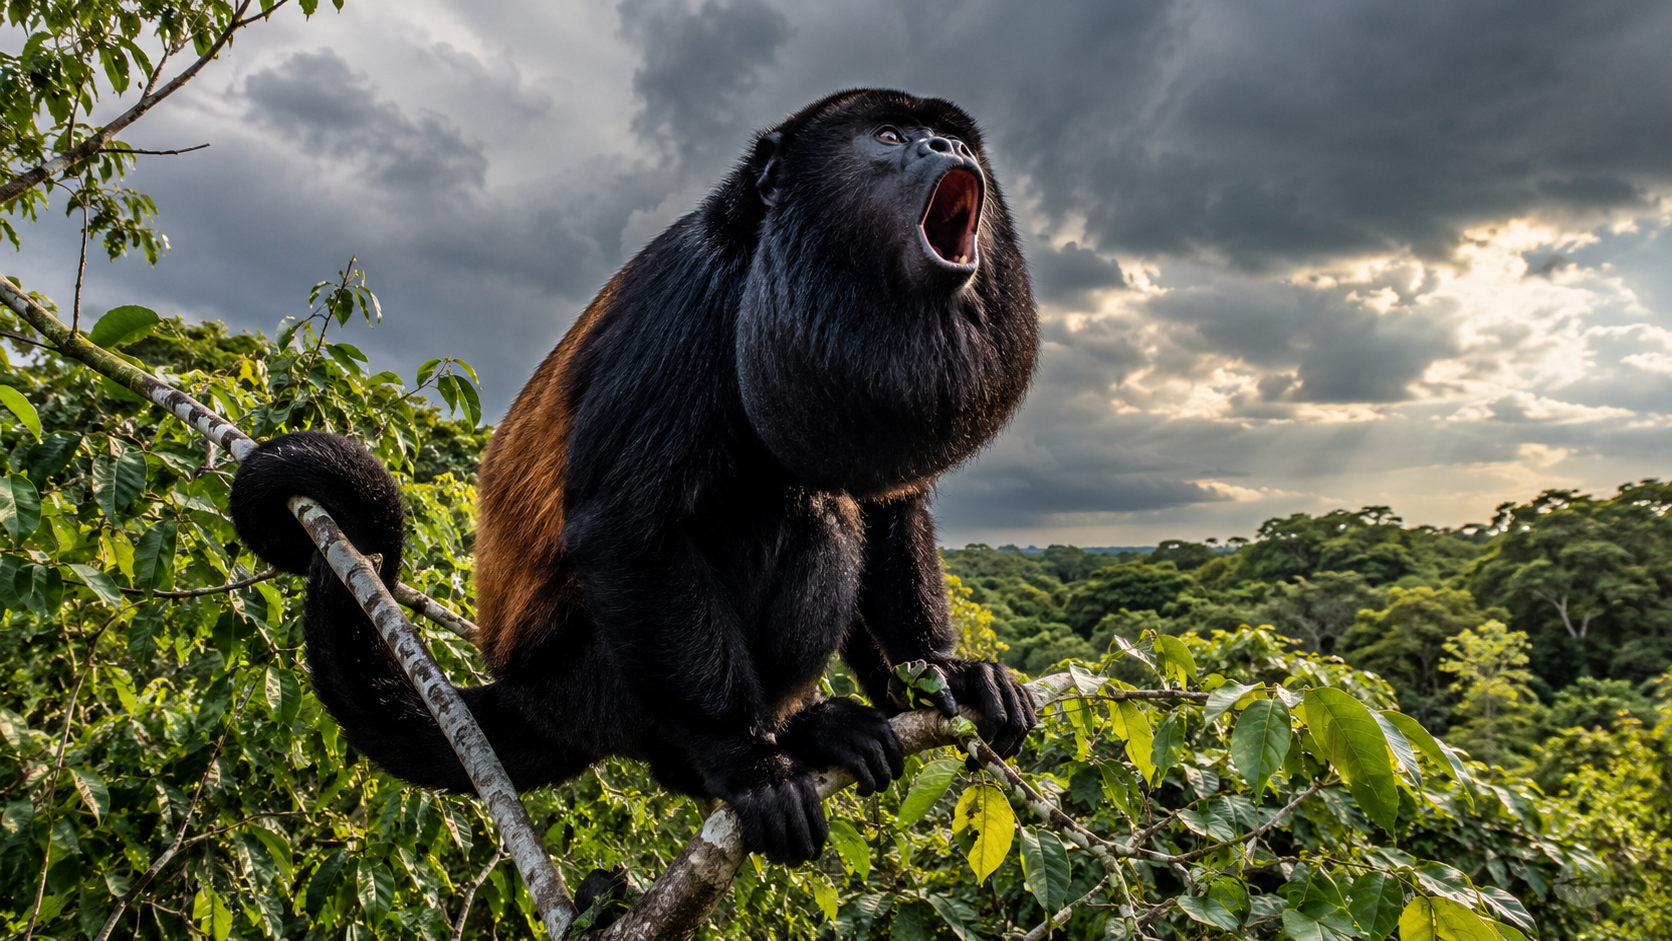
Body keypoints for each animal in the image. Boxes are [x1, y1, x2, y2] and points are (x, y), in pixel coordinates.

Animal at [229, 88, 1039, 867]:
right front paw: (747, 765)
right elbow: (628, 525)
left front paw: (945, 673)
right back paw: (771, 742)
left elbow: (889, 505)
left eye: (949, 136)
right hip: (594, 687)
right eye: (890, 137)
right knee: (802, 514)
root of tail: (524, 692)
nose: (950, 146)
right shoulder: (687, 301)